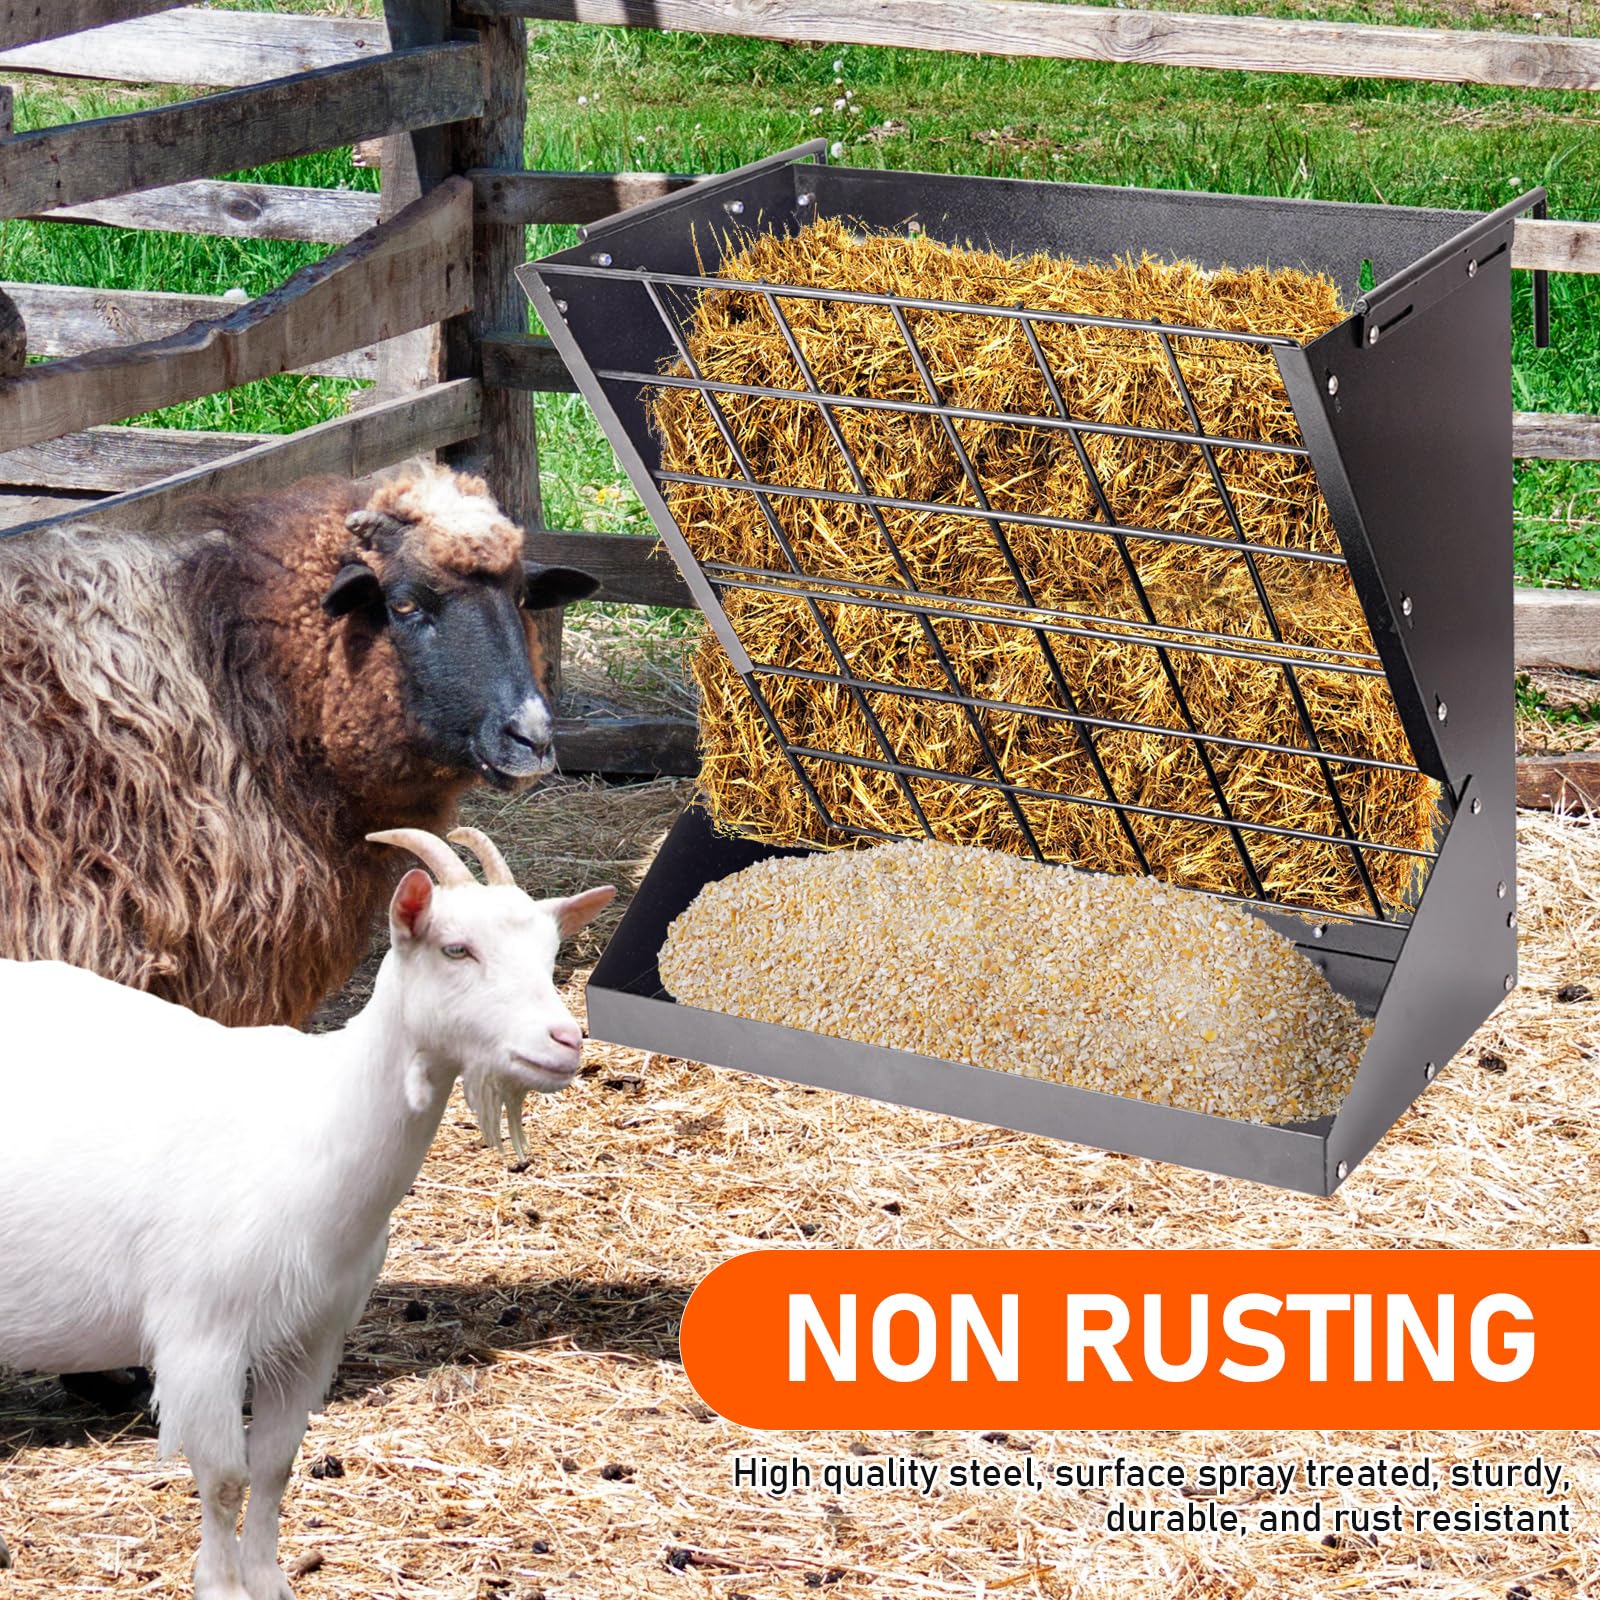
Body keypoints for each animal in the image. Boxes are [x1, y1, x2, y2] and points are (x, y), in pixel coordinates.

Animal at [0, 826, 616, 1600]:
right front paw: (219, 1586)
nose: (565, 1042)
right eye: (455, 949)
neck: (315, 1121)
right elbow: (223, 1479)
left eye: (551, 952)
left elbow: (273, 1468)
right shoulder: (201, 1336)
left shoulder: (309, 1337)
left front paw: (267, 1581)